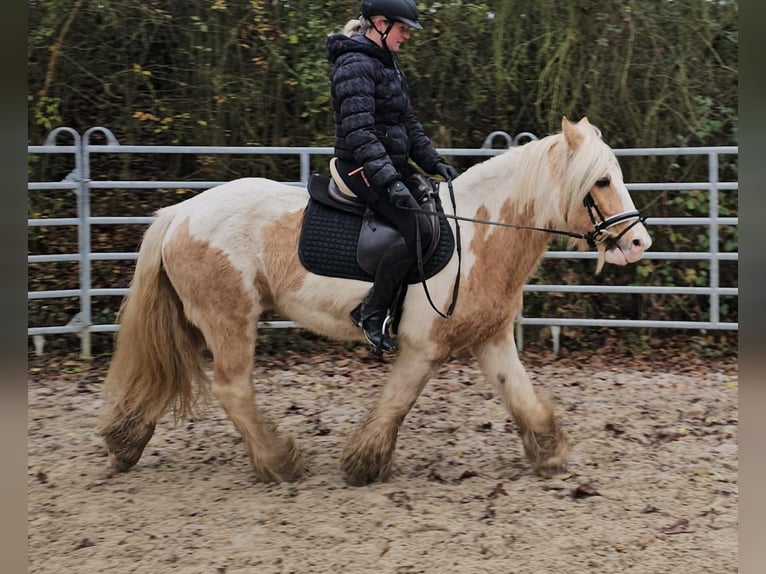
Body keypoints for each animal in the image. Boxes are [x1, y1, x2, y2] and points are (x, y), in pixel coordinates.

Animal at [97, 117, 656, 486]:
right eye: (601, 180)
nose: (637, 242)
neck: (479, 232)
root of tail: (181, 213)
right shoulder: (423, 347)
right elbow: (396, 403)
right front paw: (363, 464)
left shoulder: (491, 339)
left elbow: (520, 395)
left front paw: (550, 453)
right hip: (228, 320)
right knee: (232, 389)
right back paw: (280, 463)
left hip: (195, 321)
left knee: (164, 374)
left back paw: (125, 444)